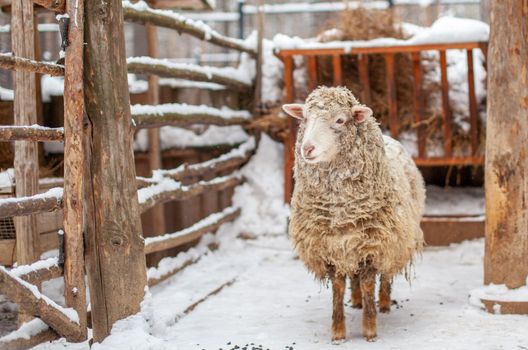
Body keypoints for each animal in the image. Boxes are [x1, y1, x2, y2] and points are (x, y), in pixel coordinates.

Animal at [280, 86, 424, 344]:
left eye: (340, 120)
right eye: (304, 118)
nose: (307, 149)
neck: (341, 211)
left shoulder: (372, 245)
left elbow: (368, 284)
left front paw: (370, 329)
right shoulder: (330, 247)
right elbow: (338, 287)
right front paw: (338, 332)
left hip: (394, 238)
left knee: (385, 275)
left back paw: (384, 302)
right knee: (354, 277)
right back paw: (356, 300)